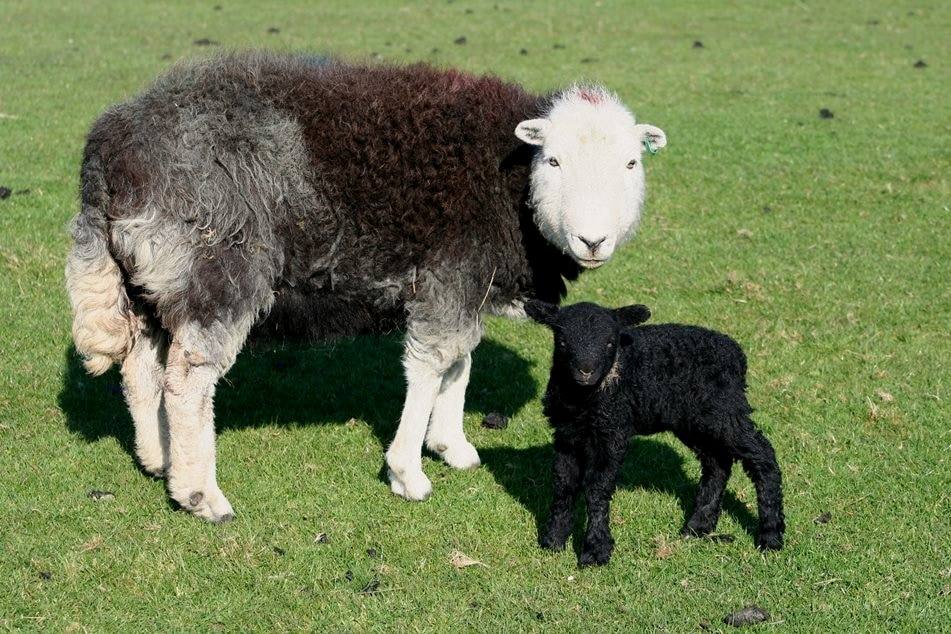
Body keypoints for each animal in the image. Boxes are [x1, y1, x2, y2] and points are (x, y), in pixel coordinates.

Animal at [65, 52, 668, 521]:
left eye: (631, 164)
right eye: (555, 160)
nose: (593, 240)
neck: (511, 185)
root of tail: (109, 157)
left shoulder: (465, 284)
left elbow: (461, 361)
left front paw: (452, 445)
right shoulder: (450, 274)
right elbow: (431, 365)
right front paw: (408, 473)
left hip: (153, 279)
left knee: (141, 368)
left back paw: (158, 459)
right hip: (215, 267)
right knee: (188, 381)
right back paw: (200, 495)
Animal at [525, 300, 785, 565]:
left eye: (610, 342)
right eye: (562, 342)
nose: (585, 372)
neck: (584, 399)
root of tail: (737, 355)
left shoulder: (613, 430)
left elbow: (597, 487)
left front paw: (595, 550)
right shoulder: (566, 434)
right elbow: (563, 484)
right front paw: (553, 539)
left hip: (726, 410)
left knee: (762, 455)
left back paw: (770, 535)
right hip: (695, 421)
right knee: (717, 463)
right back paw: (698, 526)